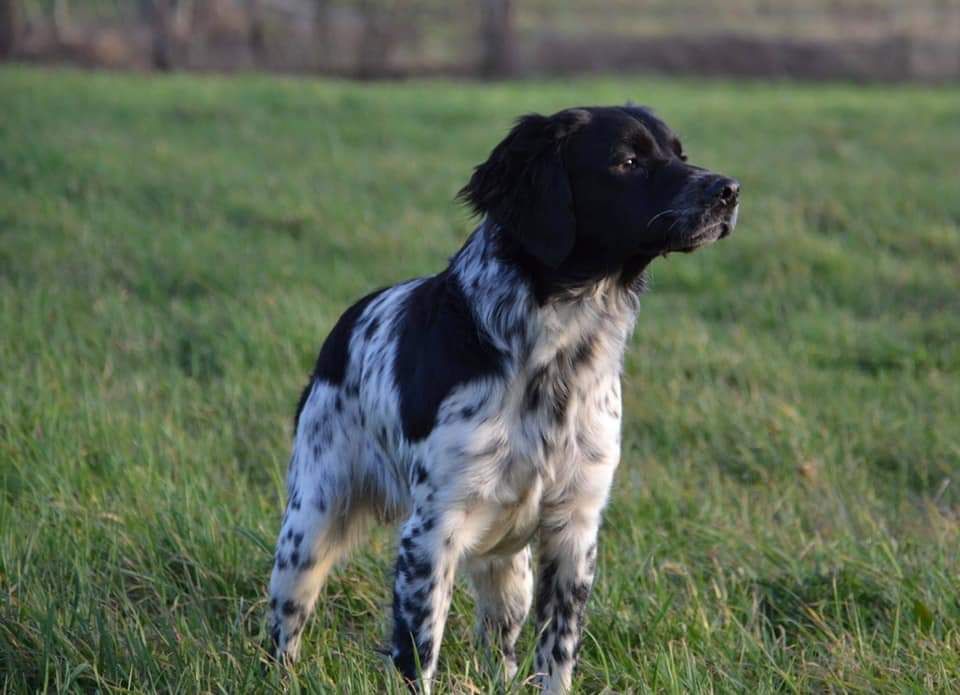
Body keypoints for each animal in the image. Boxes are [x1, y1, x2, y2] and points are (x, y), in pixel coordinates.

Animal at [266, 102, 740, 692]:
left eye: (680, 153)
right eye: (627, 161)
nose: (728, 190)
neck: (557, 354)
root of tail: (346, 321)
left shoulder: (575, 528)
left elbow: (556, 654)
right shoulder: (431, 533)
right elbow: (418, 656)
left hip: (508, 570)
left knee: (501, 645)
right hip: (309, 527)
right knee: (285, 625)